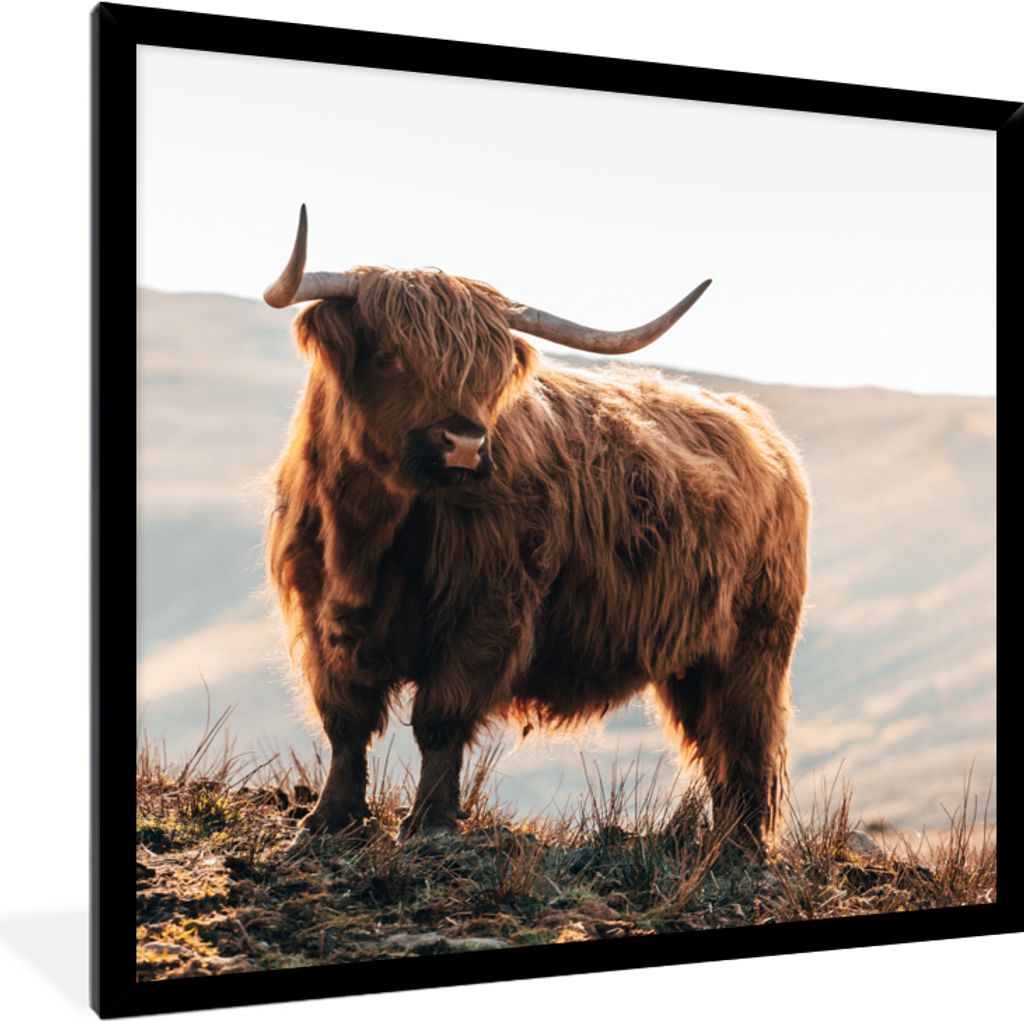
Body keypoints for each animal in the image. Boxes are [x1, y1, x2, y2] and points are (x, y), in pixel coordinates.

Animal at [264, 205, 810, 857]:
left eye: (488, 372)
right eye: (392, 356)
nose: (465, 442)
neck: (369, 531)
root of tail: (758, 426)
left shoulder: (488, 610)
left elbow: (440, 719)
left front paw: (431, 823)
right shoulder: (321, 613)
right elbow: (345, 719)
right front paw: (328, 819)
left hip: (753, 645)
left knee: (744, 740)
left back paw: (738, 848)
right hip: (692, 660)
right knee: (714, 744)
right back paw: (720, 842)